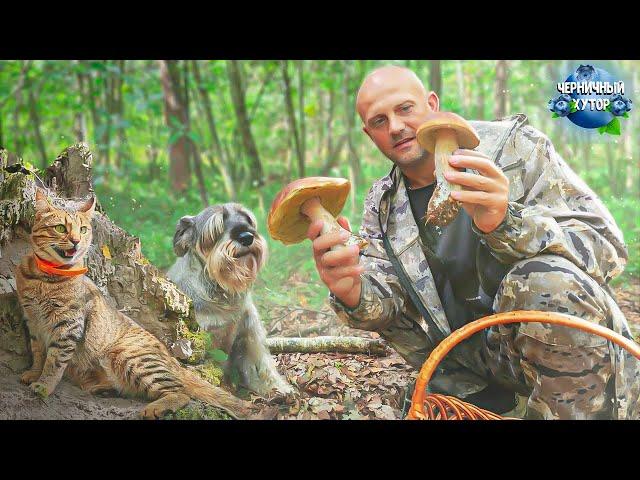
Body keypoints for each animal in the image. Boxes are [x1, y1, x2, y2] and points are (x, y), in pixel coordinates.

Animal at [15, 188, 255, 420]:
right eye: (60, 228)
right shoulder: (33, 321)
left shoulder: (68, 326)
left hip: (130, 357)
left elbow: (54, 361)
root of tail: (172, 360)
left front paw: (44, 385)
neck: (45, 277)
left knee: (180, 392)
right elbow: (39, 353)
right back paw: (103, 388)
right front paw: (34, 373)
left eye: (82, 230)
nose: (76, 241)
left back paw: (155, 408)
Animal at [168, 204, 292, 396]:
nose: (247, 237)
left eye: (247, 219)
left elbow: (263, 363)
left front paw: (279, 387)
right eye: (216, 227)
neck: (222, 293)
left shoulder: (250, 331)